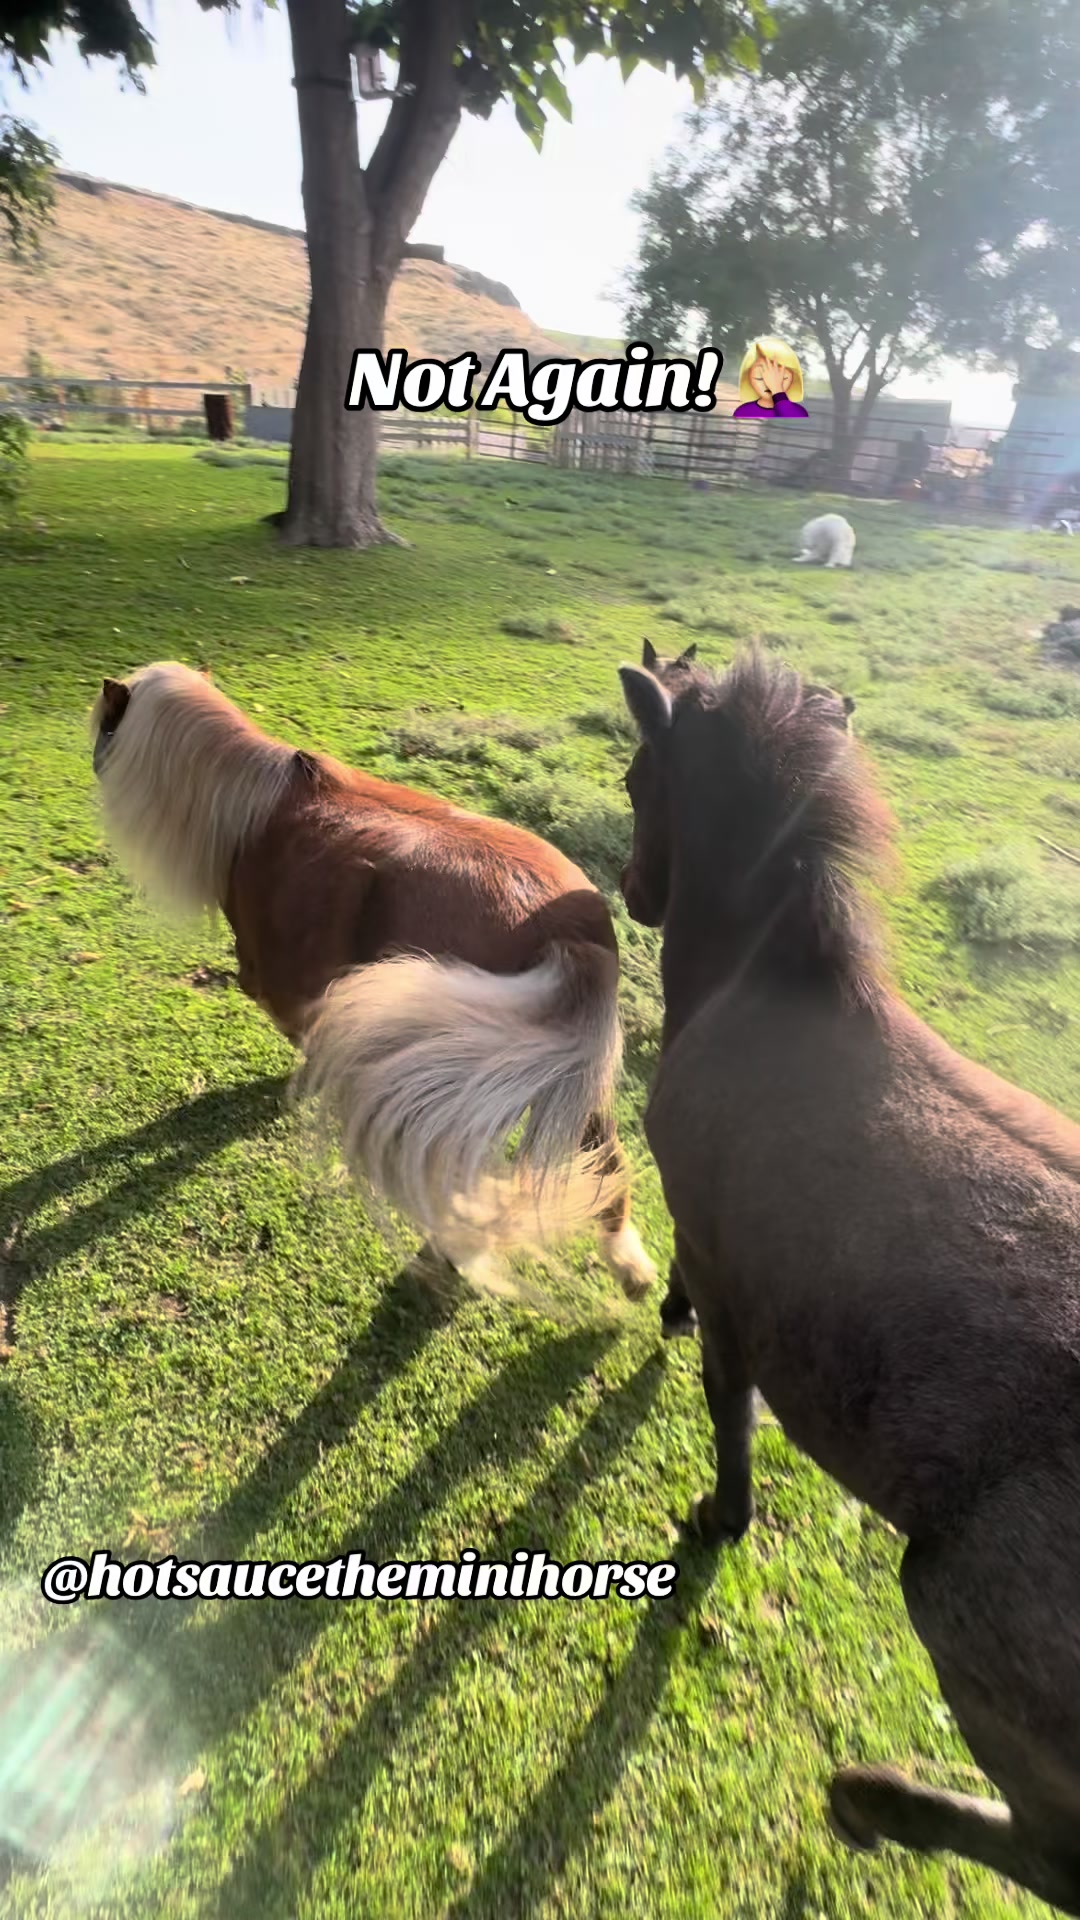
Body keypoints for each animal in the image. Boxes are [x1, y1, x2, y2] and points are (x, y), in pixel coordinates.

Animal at [89, 662, 657, 1297]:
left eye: (104, 724)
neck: (250, 810)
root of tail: (567, 931)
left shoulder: (284, 986)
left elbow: (306, 1037)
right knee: (604, 1157)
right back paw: (627, 1263)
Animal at [616, 644, 1080, 1912]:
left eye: (633, 780)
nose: (630, 887)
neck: (762, 988)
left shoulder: (721, 1261)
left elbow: (728, 1405)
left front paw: (718, 1517)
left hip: (959, 1616)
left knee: (1053, 1853)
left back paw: (870, 1799)